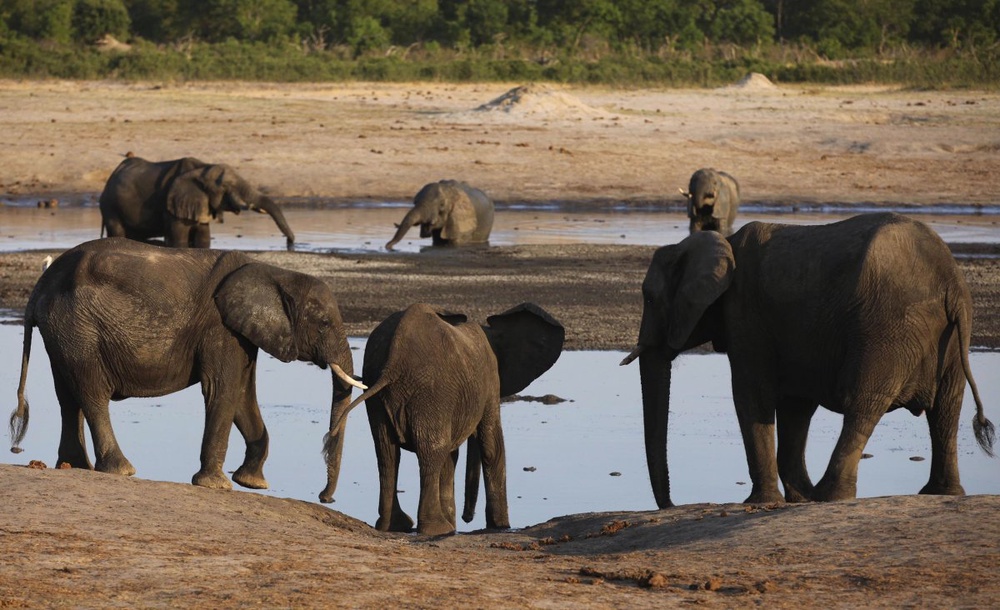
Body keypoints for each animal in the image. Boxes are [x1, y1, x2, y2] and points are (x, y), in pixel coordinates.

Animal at [9, 237, 364, 491]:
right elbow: (222, 390)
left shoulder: (241, 333)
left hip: (63, 332)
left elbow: (242, 396)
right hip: (78, 327)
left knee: (67, 395)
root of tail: (39, 287)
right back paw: (122, 470)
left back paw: (76, 466)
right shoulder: (219, 327)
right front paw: (217, 486)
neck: (271, 272)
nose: (325, 497)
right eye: (324, 323)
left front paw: (252, 482)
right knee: (92, 393)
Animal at [98, 156, 295, 249]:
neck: (203, 168)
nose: (290, 243)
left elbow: (204, 238)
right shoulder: (173, 205)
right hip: (110, 206)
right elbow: (179, 239)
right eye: (226, 186)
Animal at [320, 302, 564, 535]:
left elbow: (452, 456)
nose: (468, 518)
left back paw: (395, 525)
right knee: (431, 452)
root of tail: (395, 358)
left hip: (380, 388)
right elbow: (491, 445)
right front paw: (501, 527)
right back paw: (437, 529)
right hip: (431, 391)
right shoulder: (489, 380)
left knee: (387, 453)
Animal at [621, 212, 995, 508]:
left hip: (889, 328)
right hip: (949, 337)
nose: (672, 505)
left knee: (863, 404)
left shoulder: (746, 313)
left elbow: (751, 395)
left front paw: (762, 502)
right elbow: (795, 406)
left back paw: (828, 496)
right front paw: (795, 498)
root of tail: (950, 280)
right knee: (946, 409)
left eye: (649, 298)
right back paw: (940, 493)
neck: (720, 243)